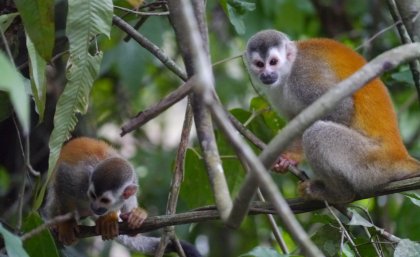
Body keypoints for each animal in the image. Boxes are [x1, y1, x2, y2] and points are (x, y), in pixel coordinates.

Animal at [43, 137, 201, 255]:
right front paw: (66, 224)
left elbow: (130, 195)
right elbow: (62, 183)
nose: (95, 206)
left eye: (104, 200)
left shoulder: (133, 181)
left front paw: (117, 217)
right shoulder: (78, 180)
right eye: (92, 195)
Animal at [244, 29, 420, 203]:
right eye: (259, 64)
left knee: (317, 133)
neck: (287, 72)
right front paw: (289, 157)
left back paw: (338, 194)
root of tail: (400, 155)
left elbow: (342, 108)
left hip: (371, 163)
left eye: (273, 62)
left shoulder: (302, 76)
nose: (266, 74)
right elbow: (295, 120)